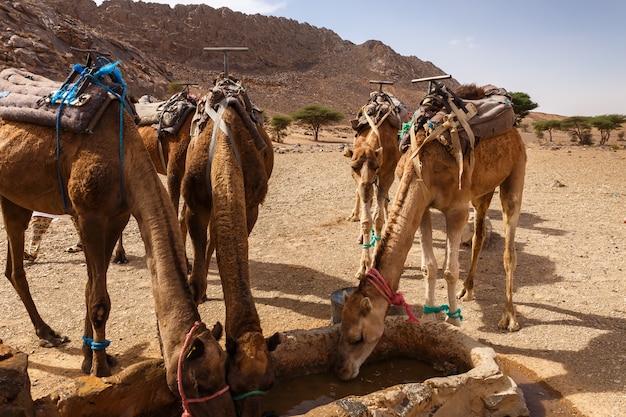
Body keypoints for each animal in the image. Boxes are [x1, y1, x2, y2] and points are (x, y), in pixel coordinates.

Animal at [0, 65, 234, 412]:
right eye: (200, 382)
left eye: (224, 372)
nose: (230, 411)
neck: (125, 157)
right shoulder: (89, 216)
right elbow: (99, 300)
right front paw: (99, 367)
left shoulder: (116, 217)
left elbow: (88, 290)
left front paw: (91, 358)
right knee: (17, 267)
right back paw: (48, 333)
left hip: (14, 196)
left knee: (12, 265)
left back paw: (48, 331)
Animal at [346, 83, 404, 278]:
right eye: (353, 167)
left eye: (376, 166)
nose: (365, 188)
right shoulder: (360, 179)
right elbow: (366, 220)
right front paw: (363, 265)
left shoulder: (386, 173)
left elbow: (377, 218)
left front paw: (376, 255)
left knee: (383, 200)